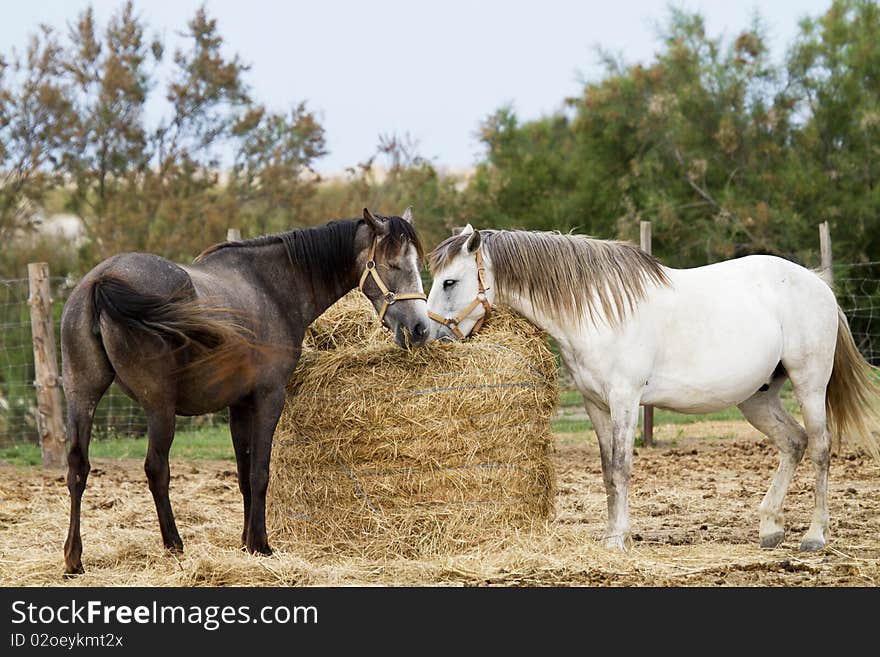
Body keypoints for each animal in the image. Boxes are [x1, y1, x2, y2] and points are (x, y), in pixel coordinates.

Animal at [58, 208, 430, 572]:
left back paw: (74, 558)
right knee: (156, 469)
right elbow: (260, 473)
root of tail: (103, 280)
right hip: (158, 406)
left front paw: (245, 542)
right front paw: (260, 545)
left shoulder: (238, 405)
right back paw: (174, 544)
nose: (420, 328)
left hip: (82, 393)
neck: (272, 287)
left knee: (78, 468)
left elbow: (242, 474)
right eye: (393, 264)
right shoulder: (269, 398)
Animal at [426, 228, 880, 552]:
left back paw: (815, 536)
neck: (597, 309)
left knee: (820, 448)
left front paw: (619, 540)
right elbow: (607, 472)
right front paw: (613, 536)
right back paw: (769, 527)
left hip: (809, 384)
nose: (423, 334)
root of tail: (819, 285)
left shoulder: (625, 400)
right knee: (793, 442)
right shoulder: (596, 406)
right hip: (758, 397)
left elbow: (622, 468)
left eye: (449, 282)